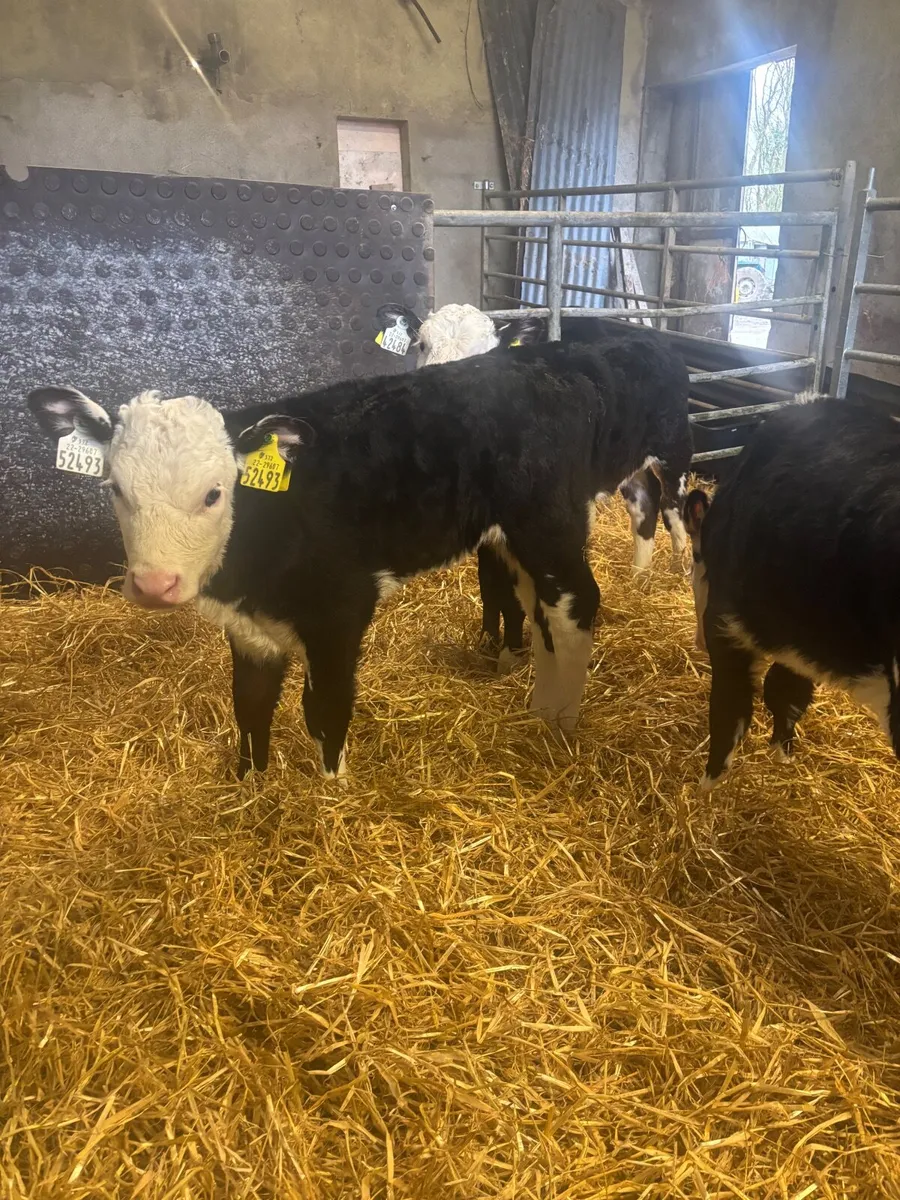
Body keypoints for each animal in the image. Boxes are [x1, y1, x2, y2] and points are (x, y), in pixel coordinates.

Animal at [27, 341, 682, 779]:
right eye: (115, 488)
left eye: (213, 494)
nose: (154, 584)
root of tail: (557, 362)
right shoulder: (249, 624)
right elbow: (250, 704)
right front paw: (250, 789)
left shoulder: (341, 610)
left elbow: (325, 708)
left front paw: (330, 794)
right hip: (513, 540)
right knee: (540, 610)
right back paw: (540, 705)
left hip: (547, 520)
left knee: (575, 607)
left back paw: (562, 724)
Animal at [377, 302, 693, 668]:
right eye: (423, 345)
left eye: (484, 359)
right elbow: (489, 583)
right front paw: (488, 640)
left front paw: (510, 654)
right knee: (645, 502)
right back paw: (638, 578)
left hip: (674, 448)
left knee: (674, 507)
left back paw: (677, 568)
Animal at [683, 397, 900, 790]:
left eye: (695, 558)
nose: (698, 643)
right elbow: (786, 693)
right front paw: (783, 754)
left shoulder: (726, 623)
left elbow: (730, 708)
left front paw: (708, 786)